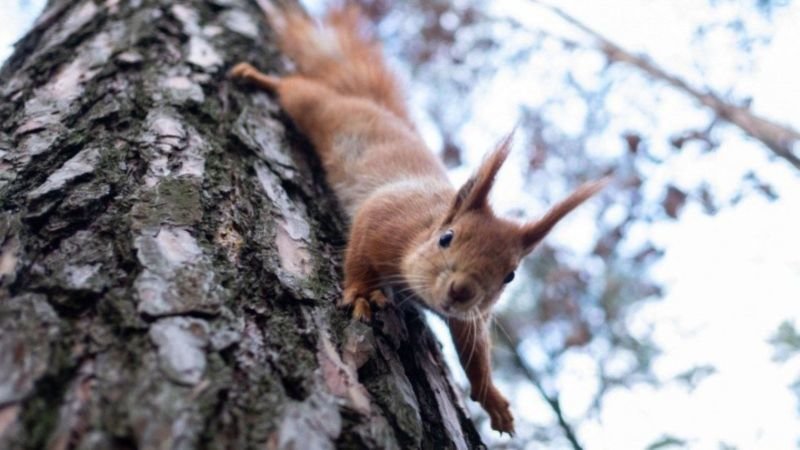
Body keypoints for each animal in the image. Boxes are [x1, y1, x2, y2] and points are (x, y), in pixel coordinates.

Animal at [231, 4, 608, 436]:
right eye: (447, 238)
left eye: (510, 275)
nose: (462, 290)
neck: (423, 230)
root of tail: (377, 109)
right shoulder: (383, 218)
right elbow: (359, 255)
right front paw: (363, 293)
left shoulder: (469, 316)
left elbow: (473, 349)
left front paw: (491, 397)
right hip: (324, 111)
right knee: (298, 90)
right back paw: (256, 77)